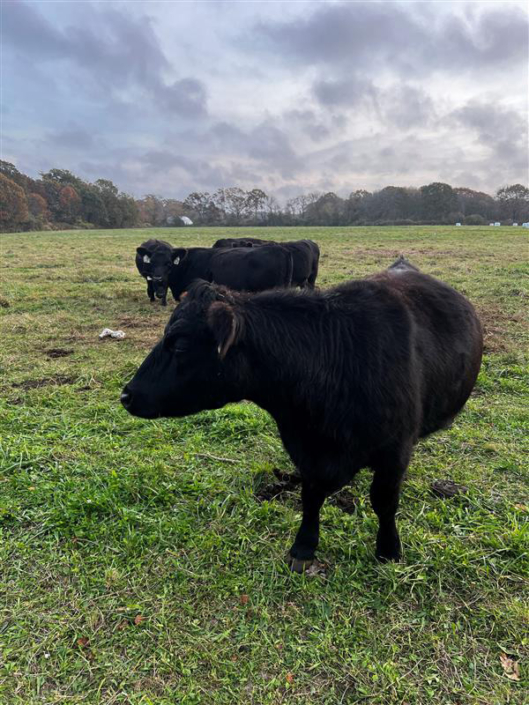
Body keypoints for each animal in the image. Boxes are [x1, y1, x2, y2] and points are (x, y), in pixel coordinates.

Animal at [121, 259, 483, 573]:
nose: (127, 395)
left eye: (180, 345)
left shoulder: (395, 452)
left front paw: (388, 549)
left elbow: (384, 501)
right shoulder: (304, 450)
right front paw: (304, 547)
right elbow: (311, 498)